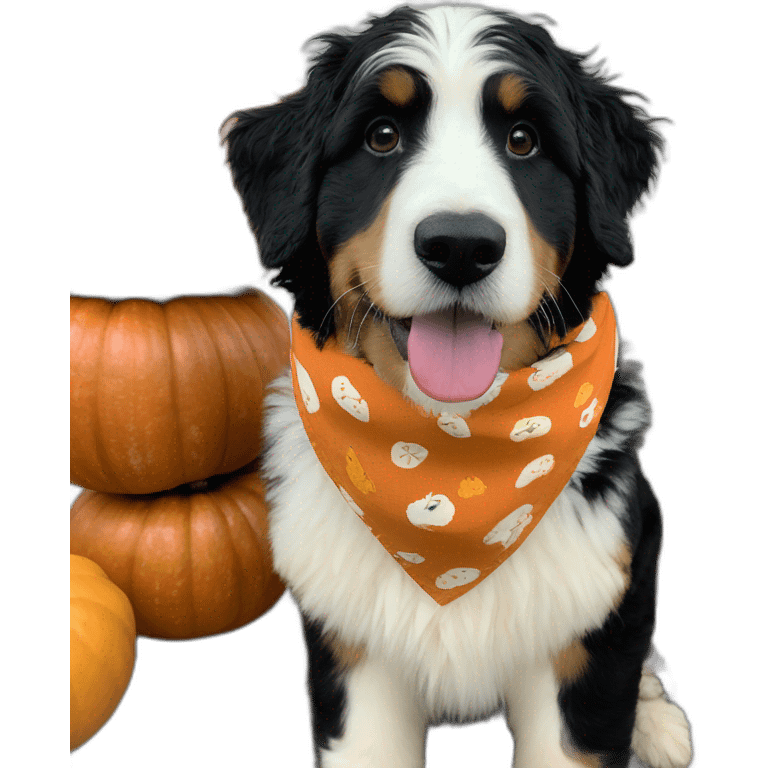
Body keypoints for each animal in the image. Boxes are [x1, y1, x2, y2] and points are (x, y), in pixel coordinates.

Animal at [219, 6, 692, 768]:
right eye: (382, 136)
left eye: (524, 141)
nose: (461, 246)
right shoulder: (352, 647)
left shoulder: (588, 627)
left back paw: (658, 724)